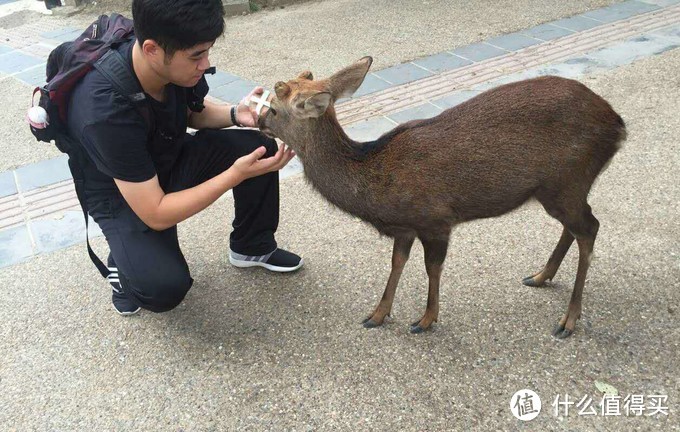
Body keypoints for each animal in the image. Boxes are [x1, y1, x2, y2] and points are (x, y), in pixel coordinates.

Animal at [258, 56, 628, 338]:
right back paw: (540, 276)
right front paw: (377, 314)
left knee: (590, 228)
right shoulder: (405, 226)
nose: (258, 120)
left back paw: (568, 319)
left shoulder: (434, 218)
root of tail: (618, 125)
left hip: (567, 179)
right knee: (576, 226)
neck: (376, 184)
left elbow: (431, 267)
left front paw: (425, 319)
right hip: (560, 189)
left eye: (274, 109)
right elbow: (397, 263)